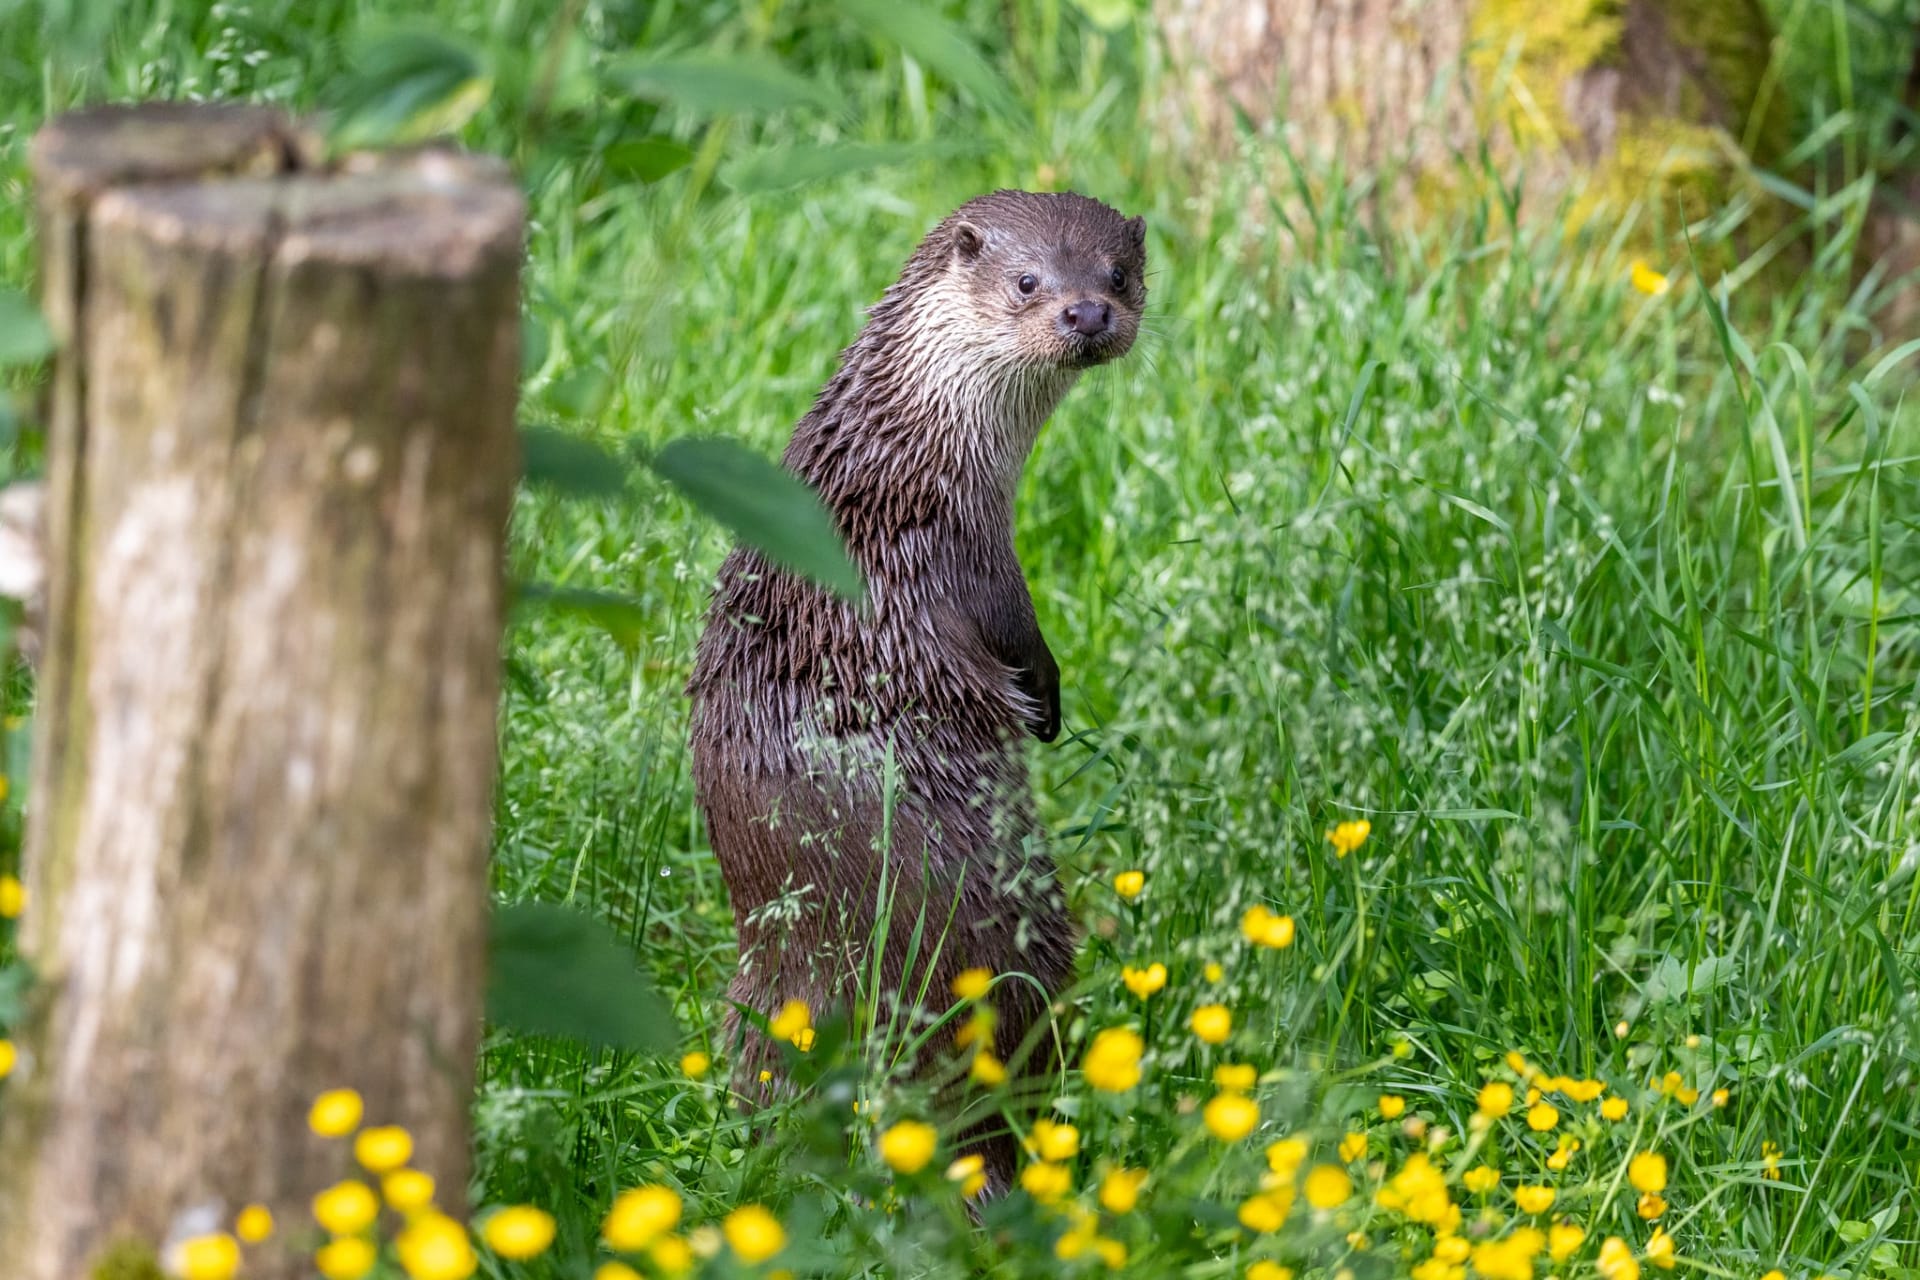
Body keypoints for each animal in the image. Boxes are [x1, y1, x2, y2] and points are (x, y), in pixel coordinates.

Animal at [687, 190, 1146, 1176]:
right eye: (1028, 280)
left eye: (1119, 274)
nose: (1087, 313)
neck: (917, 436)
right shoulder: (969, 549)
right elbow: (1011, 631)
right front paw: (1043, 702)